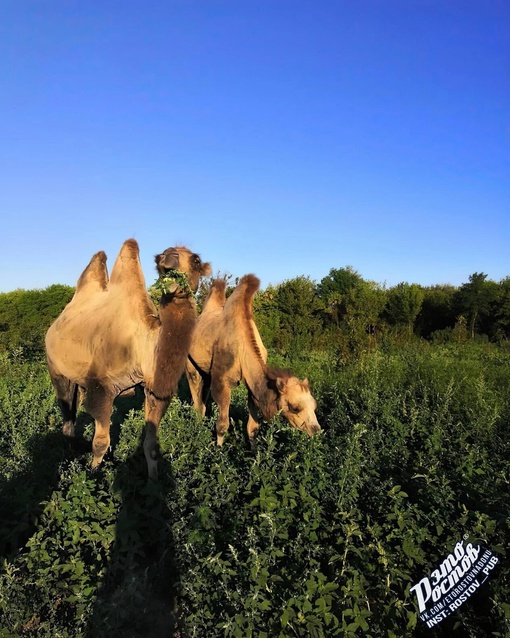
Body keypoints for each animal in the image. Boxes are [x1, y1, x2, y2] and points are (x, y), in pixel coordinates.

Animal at [44, 240, 210, 480]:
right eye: (160, 257)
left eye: (196, 260)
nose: (169, 255)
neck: (140, 346)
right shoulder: (101, 389)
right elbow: (100, 442)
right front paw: (93, 474)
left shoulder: (153, 390)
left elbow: (151, 445)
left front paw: (154, 483)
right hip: (55, 369)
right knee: (67, 418)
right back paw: (68, 456)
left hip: (79, 380)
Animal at [185, 274, 320, 444]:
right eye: (295, 407)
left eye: (314, 405)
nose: (316, 430)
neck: (243, 348)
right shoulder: (222, 381)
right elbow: (222, 425)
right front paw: (218, 450)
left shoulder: (252, 386)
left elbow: (253, 427)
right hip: (190, 364)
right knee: (197, 398)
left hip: (206, 371)